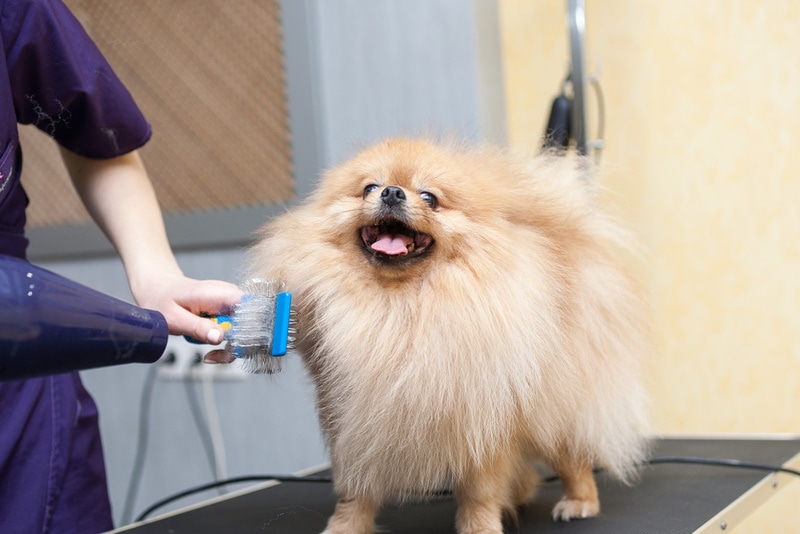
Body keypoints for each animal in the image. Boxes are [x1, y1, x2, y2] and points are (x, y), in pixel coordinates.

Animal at [245, 139, 648, 534]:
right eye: (370, 188)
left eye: (429, 197)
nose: (392, 192)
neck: (398, 305)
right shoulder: (348, 413)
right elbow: (353, 488)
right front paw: (345, 526)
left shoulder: (481, 414)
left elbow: (480, 489)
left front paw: (480, 527)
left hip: (553, 401)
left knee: (572, 456)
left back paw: (579, 501)